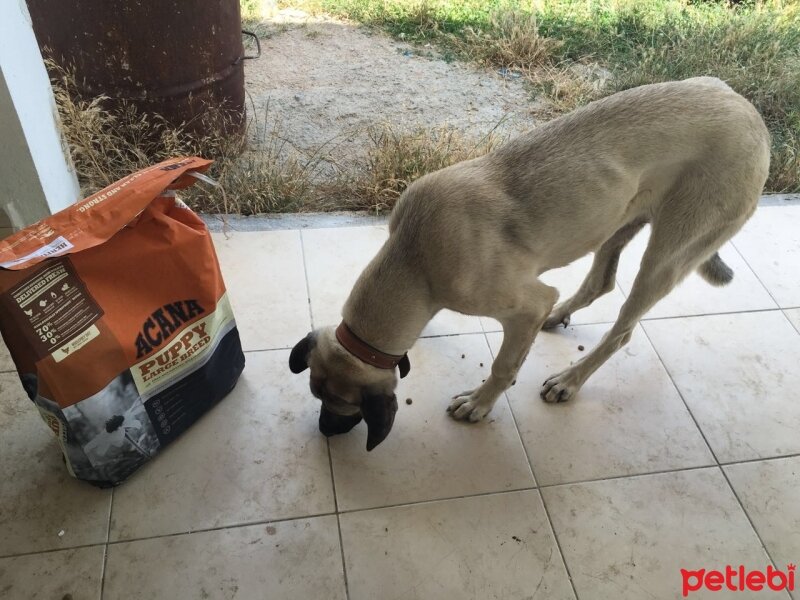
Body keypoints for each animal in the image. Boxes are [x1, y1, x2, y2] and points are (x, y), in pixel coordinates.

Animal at [288, 76, 768, 450]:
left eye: (343, 405)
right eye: (314, 394)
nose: (325, 432)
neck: (412, 258)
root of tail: (753, 115)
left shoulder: (523, 305)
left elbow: (504, 365)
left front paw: (480, 403)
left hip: (669, 255)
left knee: (623, 329)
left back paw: (570, 380)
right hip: (616, 222)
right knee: (600, 283)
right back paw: (561, 317)